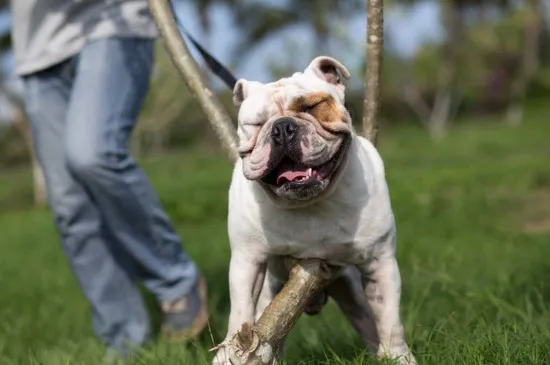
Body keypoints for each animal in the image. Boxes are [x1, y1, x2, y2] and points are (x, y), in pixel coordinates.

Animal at [213, 56, 416, 364]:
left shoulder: (380, 262)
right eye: (256, 123)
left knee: (371, 325)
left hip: (354, 295)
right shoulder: (247, 262)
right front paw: (230, 354)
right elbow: (240, 312)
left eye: (311, 106)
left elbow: (390, 320)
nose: (282, 128)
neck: (309, 202)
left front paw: (399, 357)